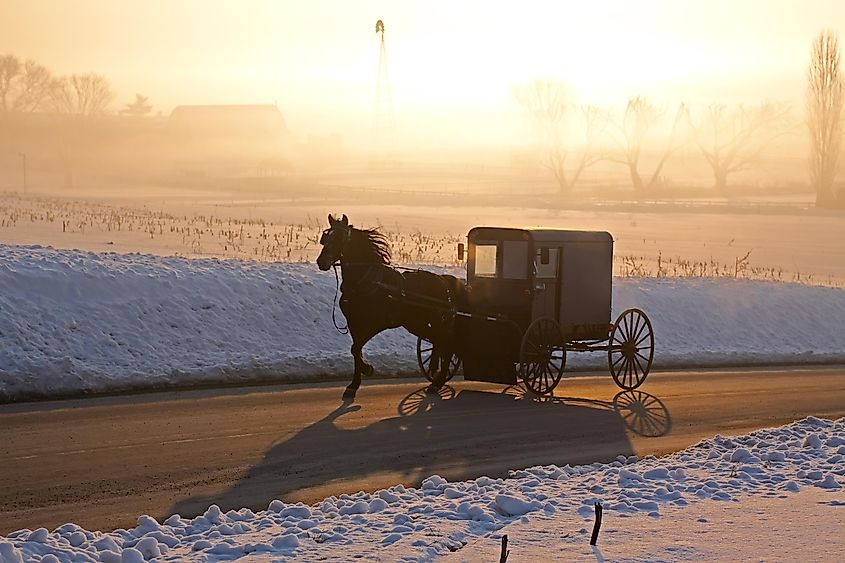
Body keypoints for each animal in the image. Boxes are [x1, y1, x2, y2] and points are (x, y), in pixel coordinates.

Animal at [314, 214, 454, 398]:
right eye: (326, 238)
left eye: (339, 238)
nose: (321, 262)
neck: (364, 282)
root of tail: (442, 281)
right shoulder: (354, 323)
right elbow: (356, 350)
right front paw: (354, 384)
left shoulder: (375, 323)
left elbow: (355, 348)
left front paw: (367, 369)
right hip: (416, 322)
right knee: (437, 340)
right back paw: (434, 372)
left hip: (433, 320)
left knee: (444, 342)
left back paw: (438, 381)